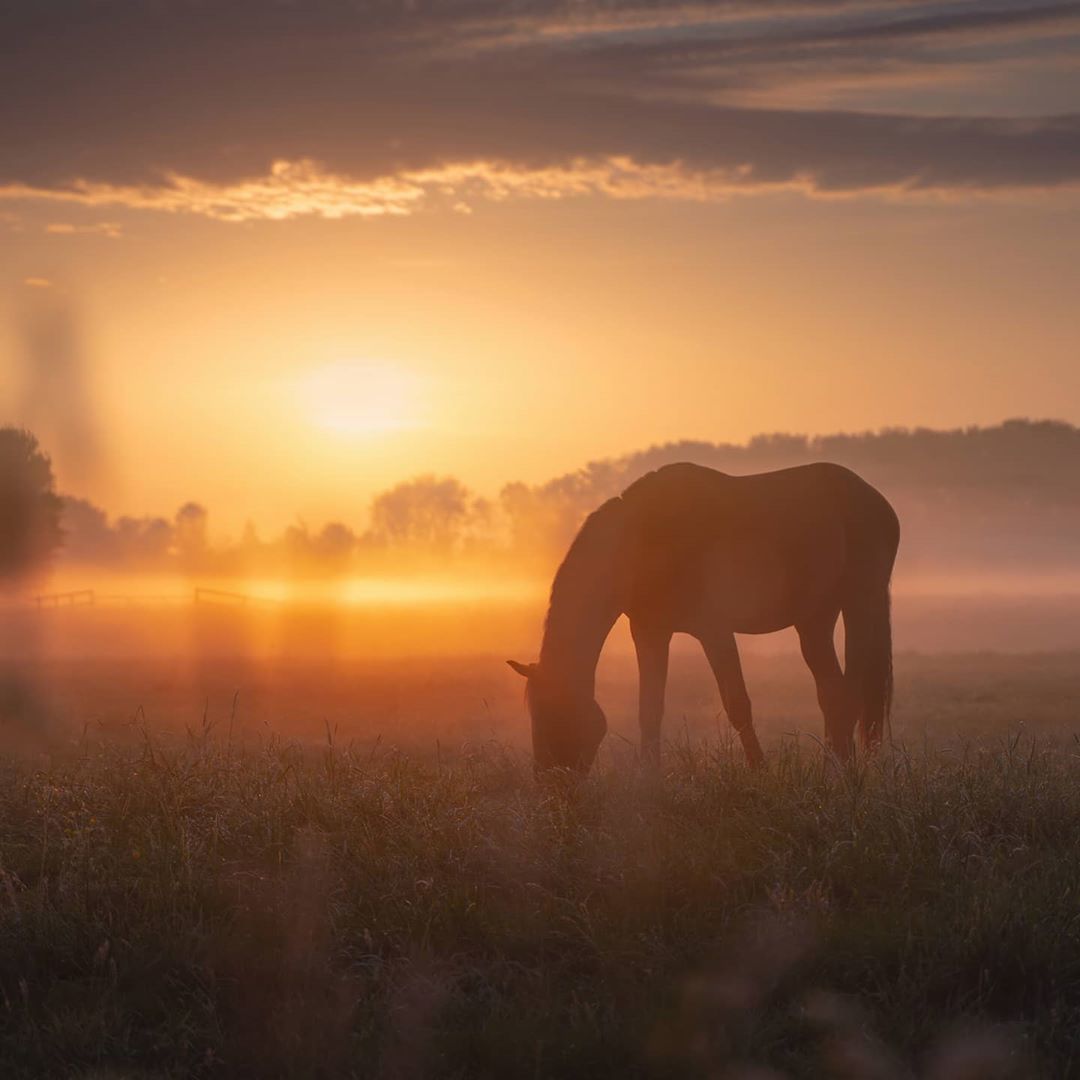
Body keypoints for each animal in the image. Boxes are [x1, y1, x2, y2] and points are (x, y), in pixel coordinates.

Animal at [509, 460, 898, 773]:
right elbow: (650, 709)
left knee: (852, 696)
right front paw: (649, 781)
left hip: (860, 604)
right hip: (815, 620)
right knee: (833, 694)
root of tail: (877, 501)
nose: (552, 786)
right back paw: (835, 770)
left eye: (556, 716)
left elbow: (737, 704)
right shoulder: (650, 631)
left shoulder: (714, 630)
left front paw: (760, 773)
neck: (645, 539)